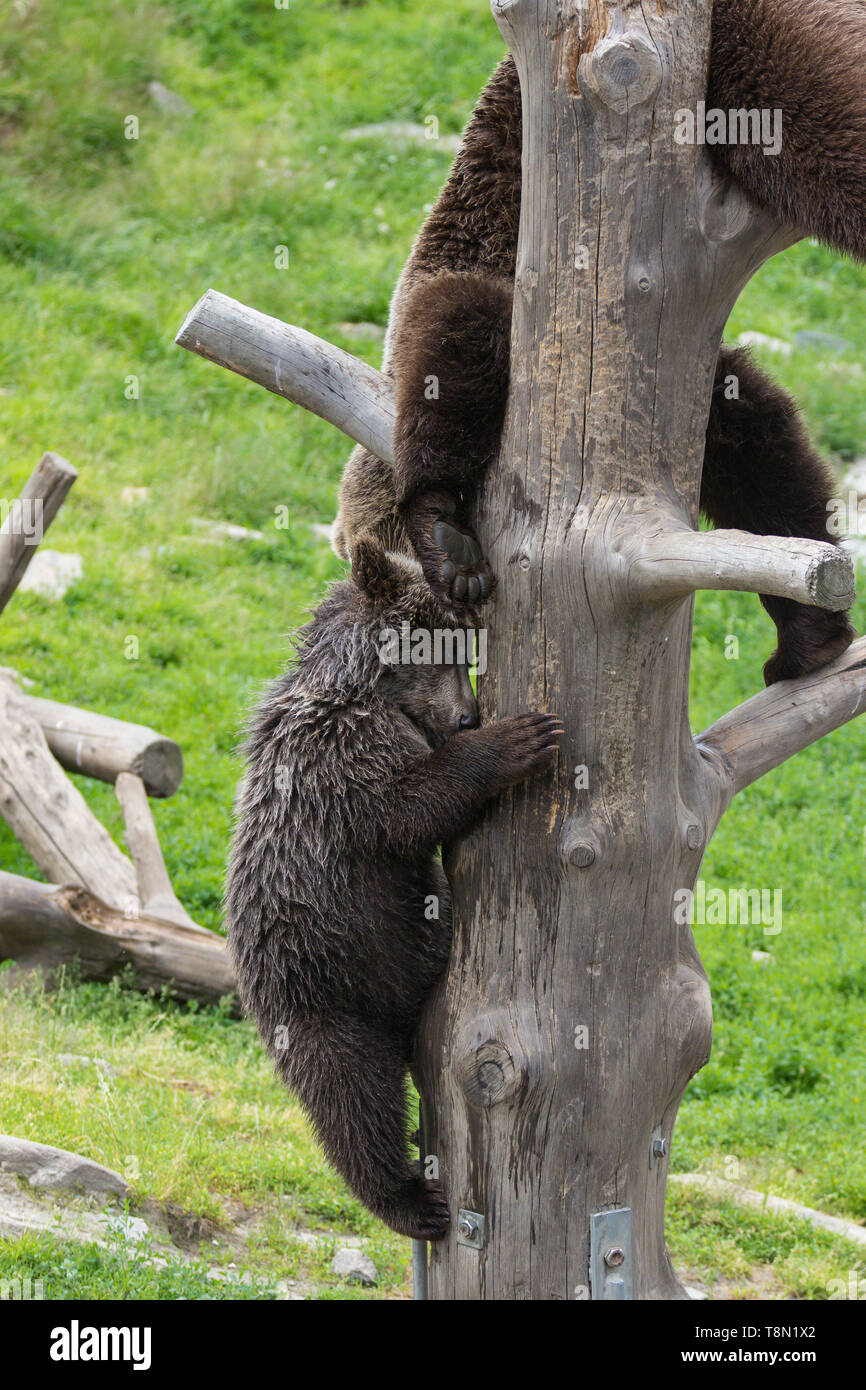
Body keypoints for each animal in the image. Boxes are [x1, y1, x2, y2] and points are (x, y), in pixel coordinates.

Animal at [225, 536, 563, 1239]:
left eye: (469, 650)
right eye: (444, 648)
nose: (467, 716)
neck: (366, 692)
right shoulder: (345, 764)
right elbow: (409, 807)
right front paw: (517, 740)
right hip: (324, 996)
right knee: (352, 1102)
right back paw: (410, 1199)